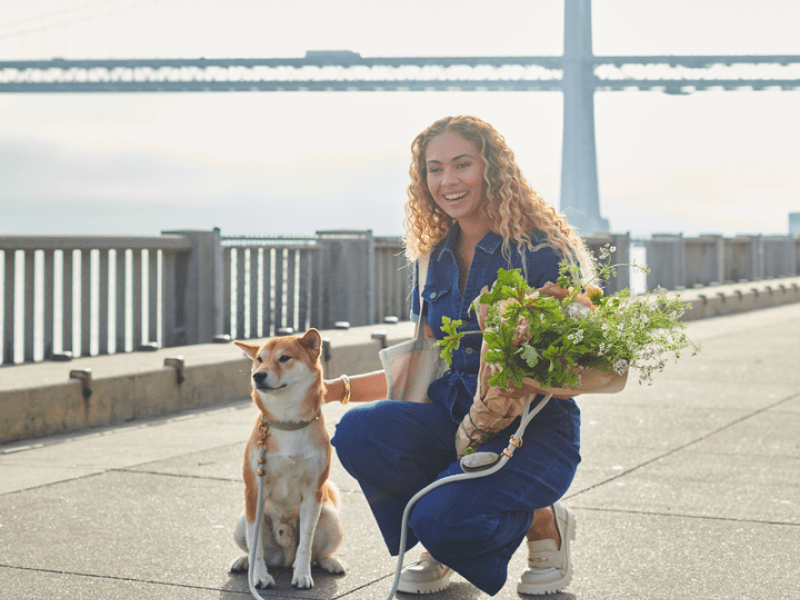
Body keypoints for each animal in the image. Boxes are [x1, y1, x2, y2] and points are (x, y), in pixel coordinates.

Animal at [228, 330, 346, 588]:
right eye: (259, 359)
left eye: (284, 358)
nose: (258, 375)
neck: (288, 422)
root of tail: (283, 558)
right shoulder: (254, 490)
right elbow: (255, 545)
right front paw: (259, 576)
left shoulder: (313, 492)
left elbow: (306, 544)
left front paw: (302, 574)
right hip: (242, 521)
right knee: (253, 547)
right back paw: (244, 562)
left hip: (331, 517)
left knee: (318, 555)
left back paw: (330, 562)